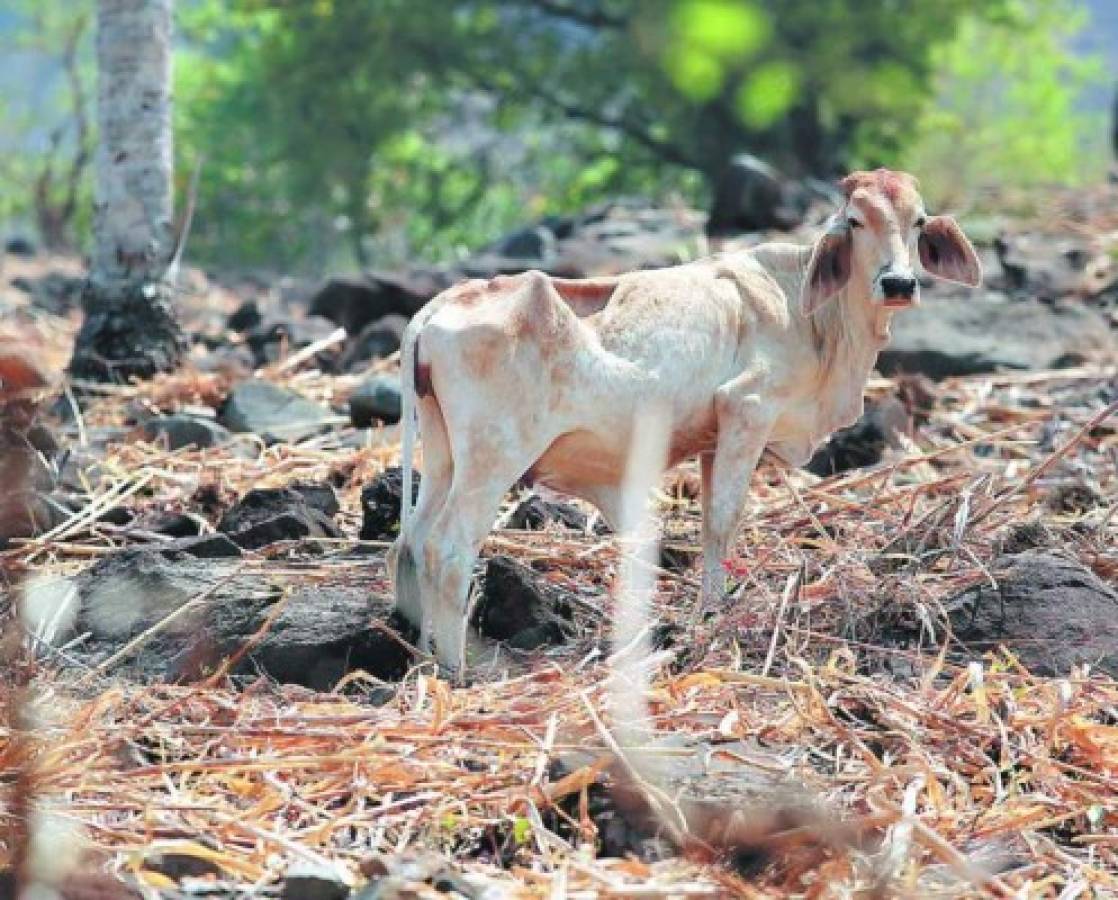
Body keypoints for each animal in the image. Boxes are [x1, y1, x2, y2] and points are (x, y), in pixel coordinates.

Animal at [389, 169, 983, 675]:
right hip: (494, 458)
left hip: (444, 457)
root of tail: (443, 304)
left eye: (919, 221)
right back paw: (457, 670)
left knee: (412, 542)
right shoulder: (748, 409)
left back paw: (421, 657)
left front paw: (709, 613)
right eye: (856, 221)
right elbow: (724, 519)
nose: (899, 283)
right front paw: (712, 617)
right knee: (449, 548)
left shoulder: (714, 439)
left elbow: (710, 525)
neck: (809, 313)